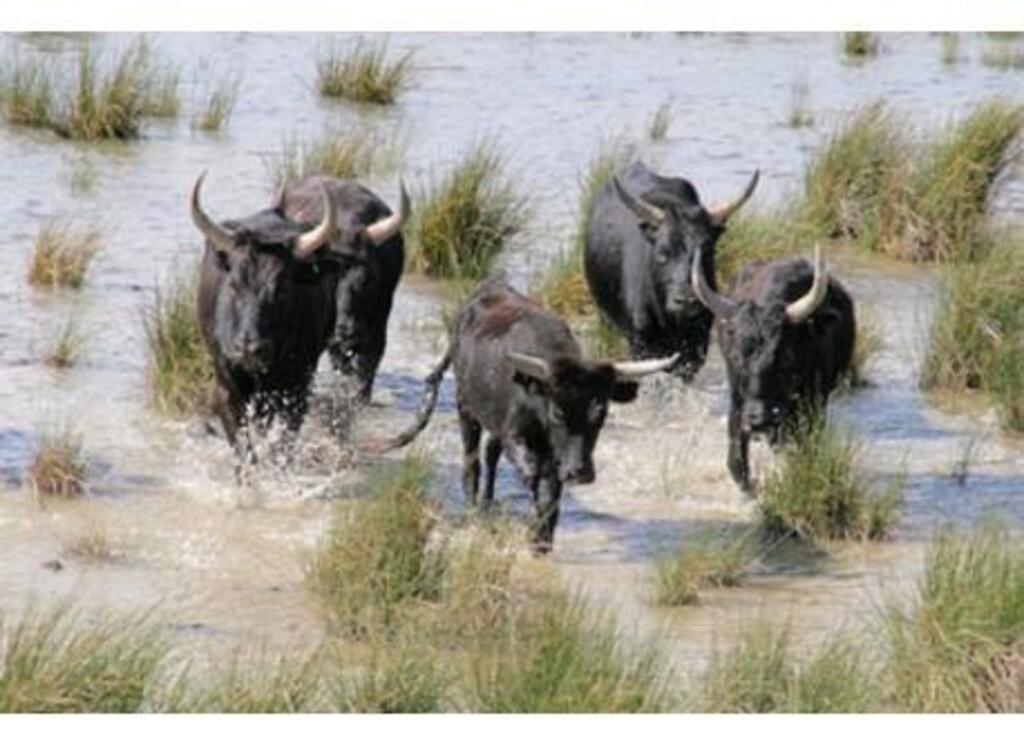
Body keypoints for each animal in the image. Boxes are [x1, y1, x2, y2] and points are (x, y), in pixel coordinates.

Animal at [371, 279, 678, 554]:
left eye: (600, 411)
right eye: (557, 411)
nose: (580, 472)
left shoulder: (555, 455)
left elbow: (553, 492)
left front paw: (545, 538)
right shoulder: (517, 439)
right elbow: (531, 477)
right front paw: (534, 531)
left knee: (490, 454)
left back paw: (487, 504)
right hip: (465, 408)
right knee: (472, 461)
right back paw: (472, 508)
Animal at [690, 245, 857, 492]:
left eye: (785, 356)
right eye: (737, 357)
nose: (759, 419)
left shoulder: (813, 402)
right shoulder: (738, 401)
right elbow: (736, 457)